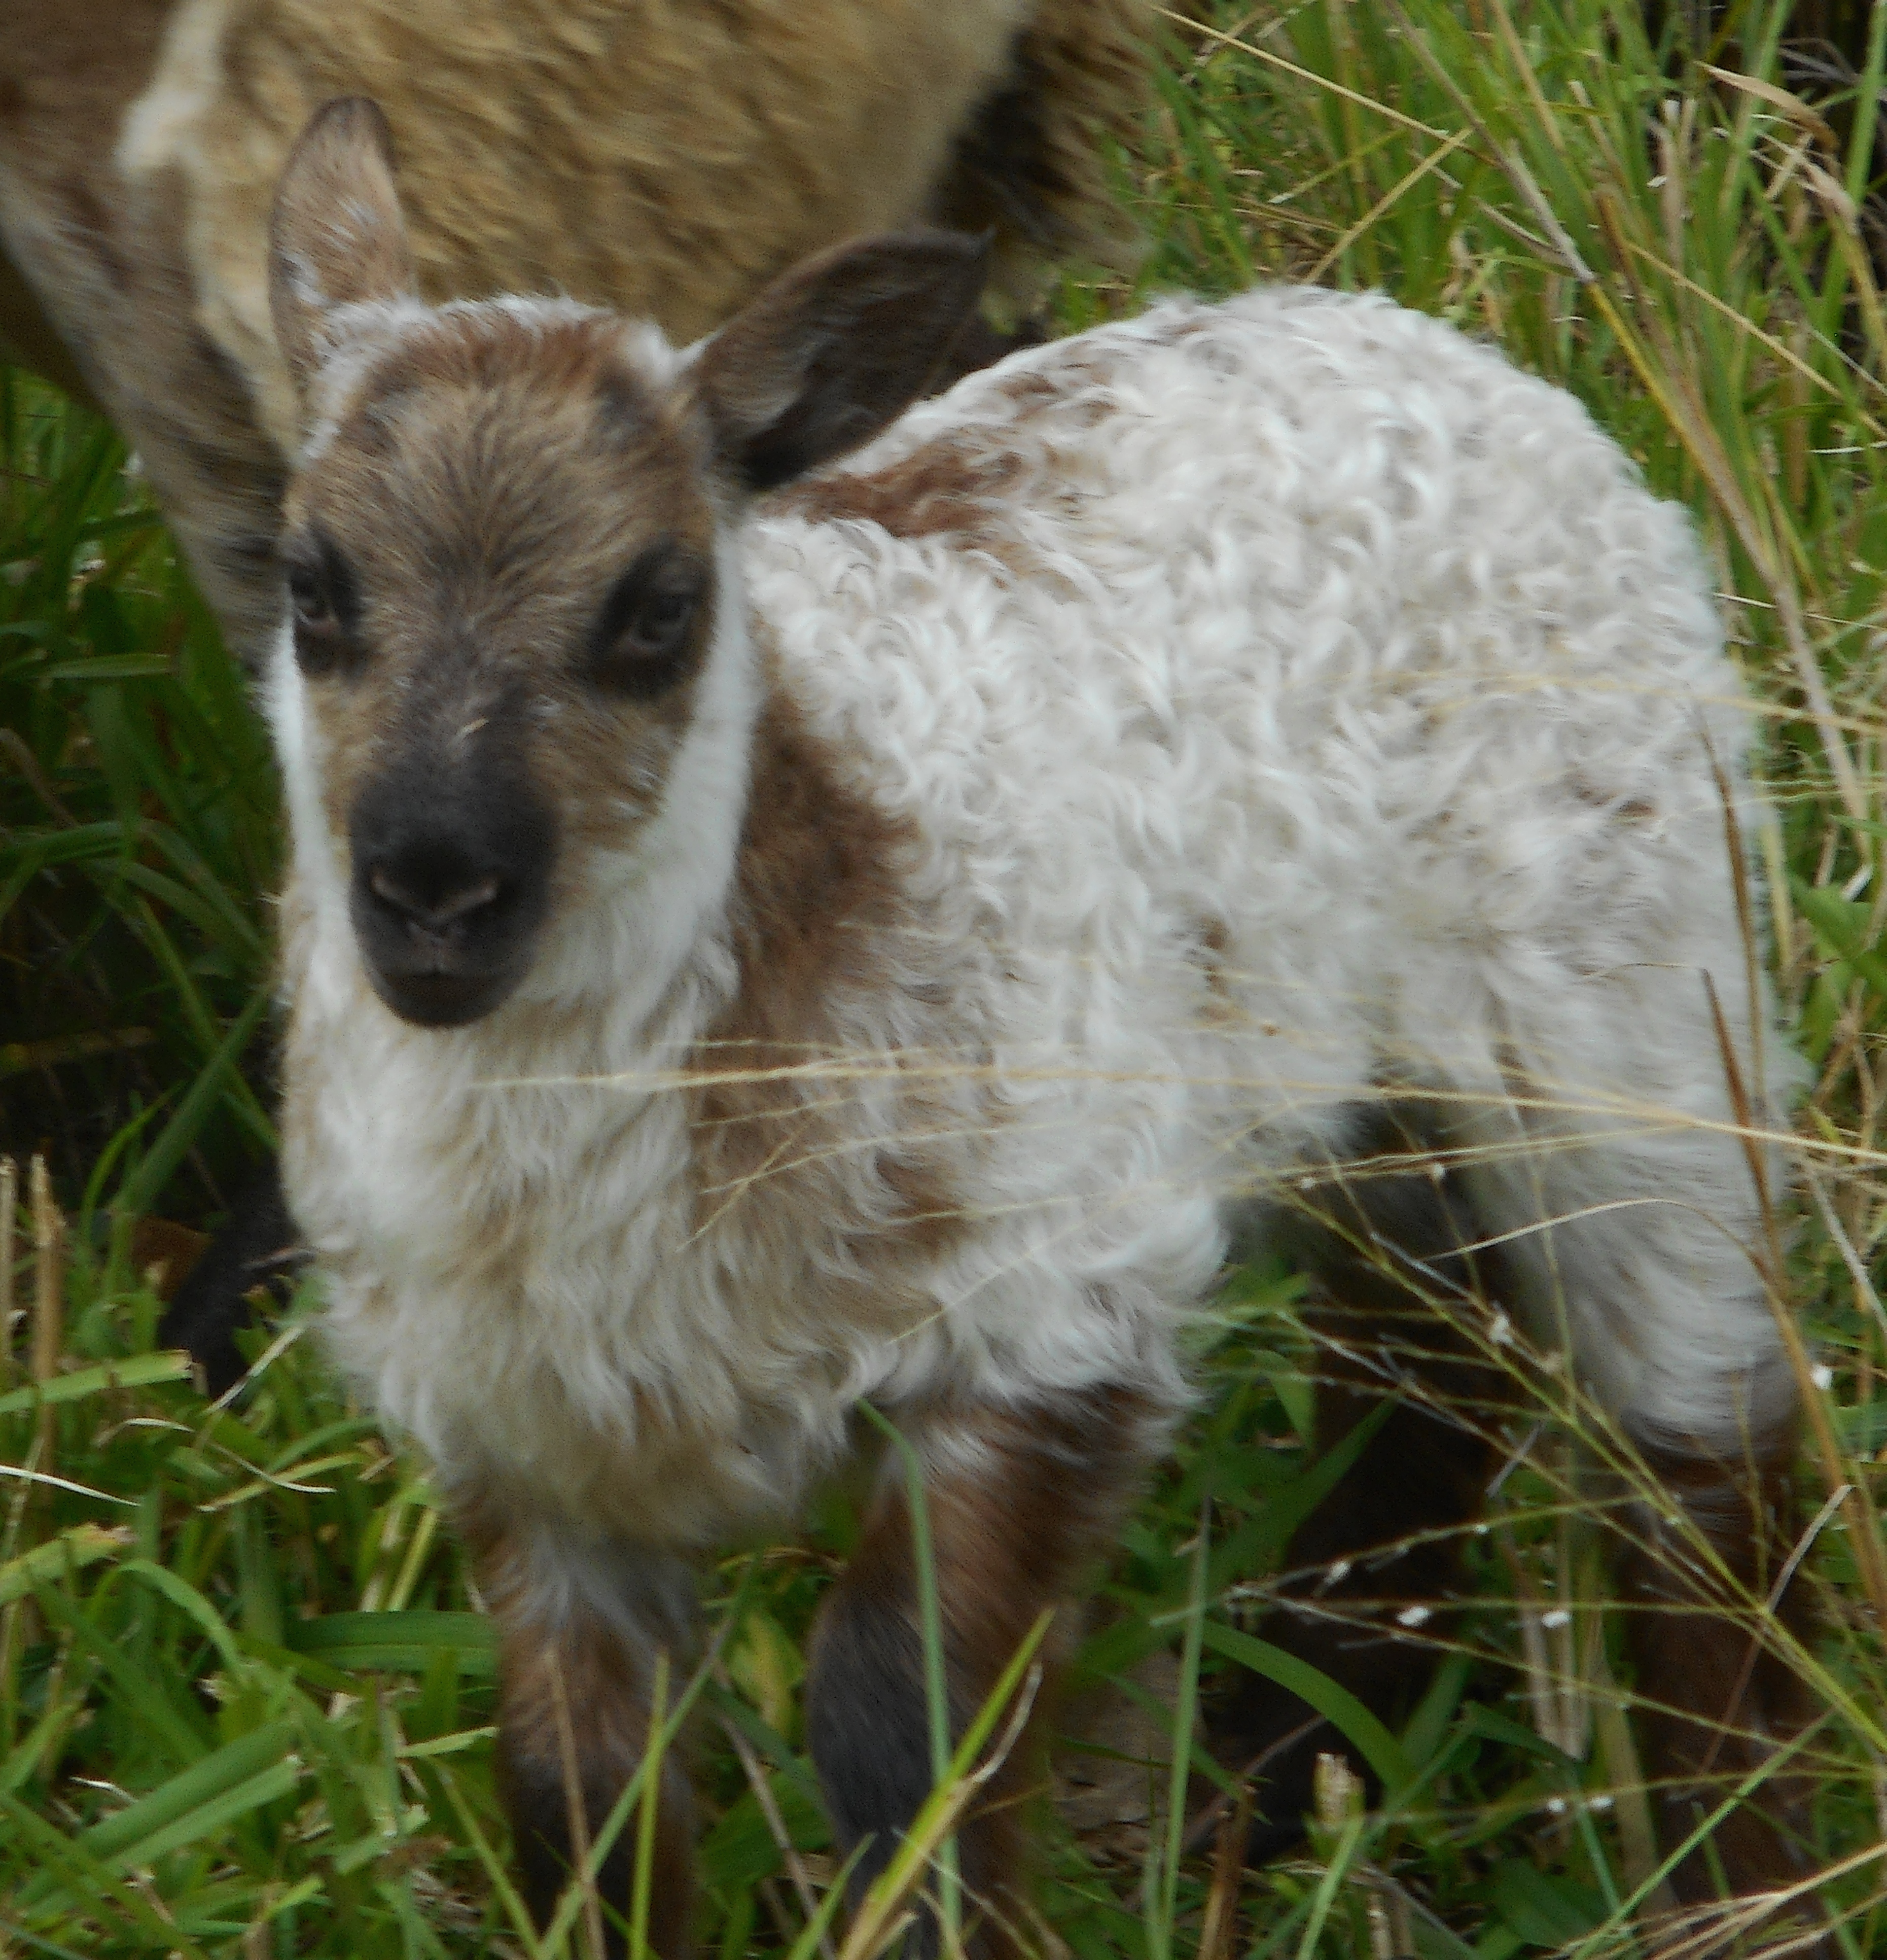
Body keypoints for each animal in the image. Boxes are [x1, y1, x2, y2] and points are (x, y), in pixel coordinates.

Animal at [259, 103, 1826, 1960]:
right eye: (311, 588)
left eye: (655, 609)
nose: (432, 885)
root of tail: (1440, 345)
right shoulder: (535, 1444)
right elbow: (584, 1797)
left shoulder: (1048, 1295)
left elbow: (895, 1715)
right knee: (1418, 1370)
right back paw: (1280, 1785)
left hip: (1637, 976)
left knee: (1699, 1445)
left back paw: (1741, 1875)